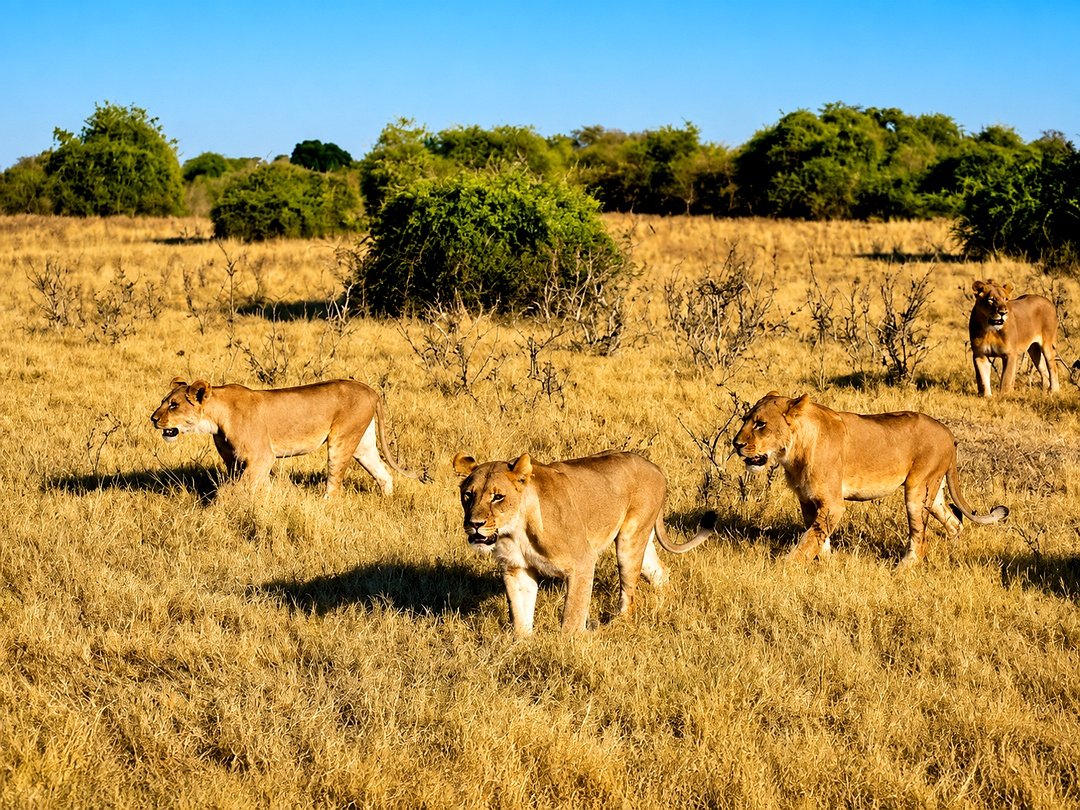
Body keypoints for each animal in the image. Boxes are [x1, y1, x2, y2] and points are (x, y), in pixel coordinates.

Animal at [150, 378, 417, 496]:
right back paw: (387, 500)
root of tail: (371, 390)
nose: (153, 418)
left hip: (341, 440)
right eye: (163, 401)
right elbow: (257, 485)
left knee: (334, 485)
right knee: (384, 474)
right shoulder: (236, 461)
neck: (215, 419)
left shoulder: (261, 457)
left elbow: (237, 489)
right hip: (363, 445)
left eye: (173, 405)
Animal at [452, 450, 708, 635]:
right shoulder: (516, 569)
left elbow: (572, 615)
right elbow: (520, 613)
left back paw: (616, 625)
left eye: (498, 497)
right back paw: (665, 601)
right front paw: (522, 644)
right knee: (660, 570)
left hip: (629, 542)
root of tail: (655, 467)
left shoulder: (582, 561)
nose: (474, 524)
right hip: (641, 542)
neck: (515, 532)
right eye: (468, 495)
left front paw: (566, 648)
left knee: (629, 593)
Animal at [727, 392, 1008, 568]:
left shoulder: (833, 503)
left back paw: (903, 568)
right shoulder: (807, 500)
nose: (736, 444)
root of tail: (948, 433)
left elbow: (808, 540)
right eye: (745, 420)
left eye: (761, 424)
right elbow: (818, 536)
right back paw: (954, 551)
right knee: (954, 521)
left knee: (920, 537)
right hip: (933, 491)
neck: (794, 451)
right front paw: (827, 563)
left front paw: (784, 567)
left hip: (917, 491)